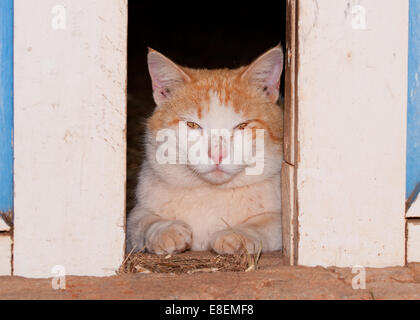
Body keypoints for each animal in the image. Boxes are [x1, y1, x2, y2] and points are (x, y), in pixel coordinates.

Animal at [126, 45, 284, 255]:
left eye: (242, 126)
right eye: (192, 125)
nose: (217, 154)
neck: (210, 193)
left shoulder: (279, 221)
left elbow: (269, 224)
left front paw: (238, 234)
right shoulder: (134, 221)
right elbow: (141, 222)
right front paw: (164, 230)